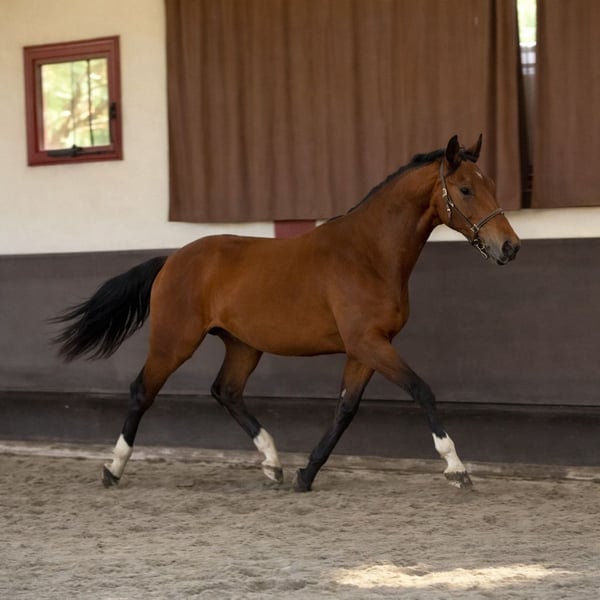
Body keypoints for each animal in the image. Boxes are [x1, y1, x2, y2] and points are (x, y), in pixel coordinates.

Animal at [52, 134, 520, 492]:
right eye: (465, 190)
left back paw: (272, 463)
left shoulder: (364, 349)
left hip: (243, 346)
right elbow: (421, 390)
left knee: (226, 391)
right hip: (174, 341)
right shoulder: (369, 343)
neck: (368, 253)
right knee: (141, 391)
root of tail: (171, 260)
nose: (510, 246)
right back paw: (113, 469)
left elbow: (345, 410)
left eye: (492, 184)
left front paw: (305, 474)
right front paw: (456, 468)